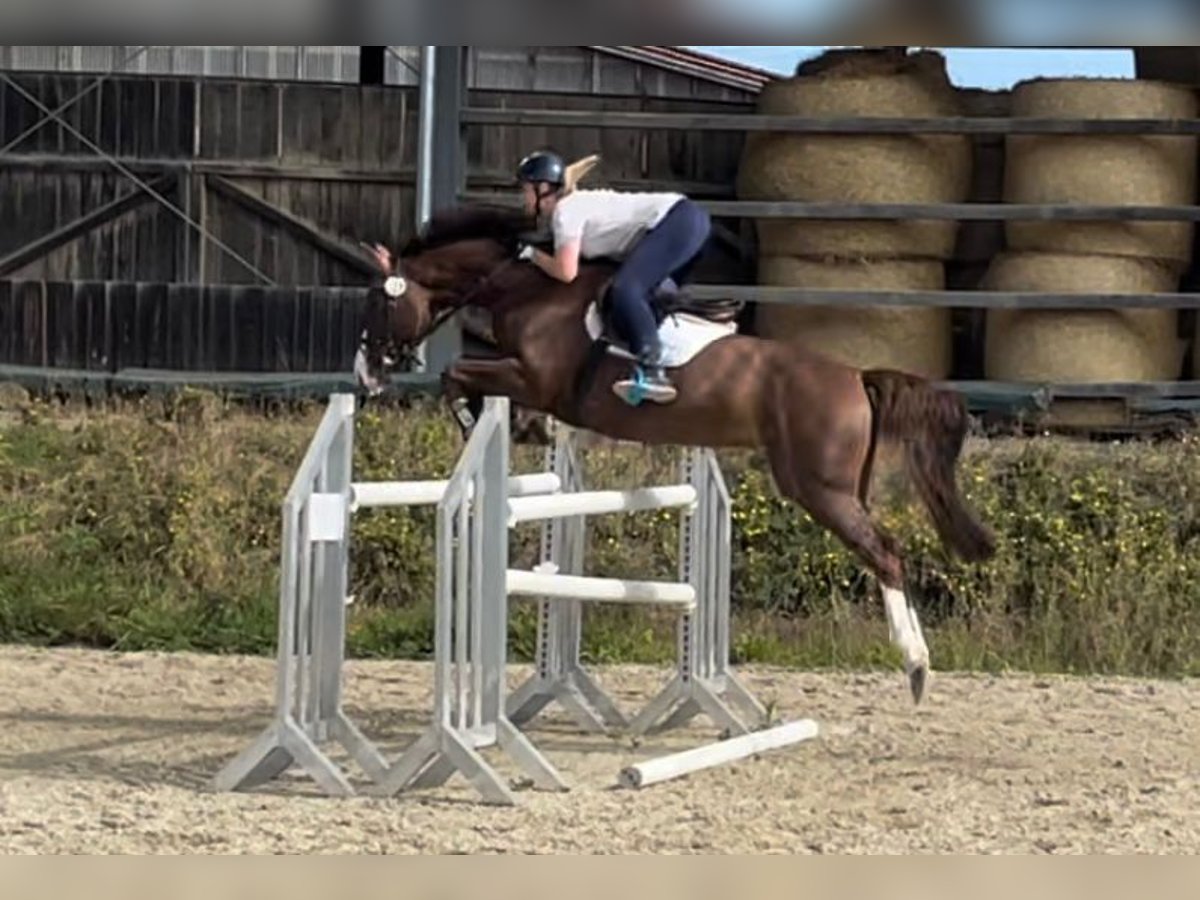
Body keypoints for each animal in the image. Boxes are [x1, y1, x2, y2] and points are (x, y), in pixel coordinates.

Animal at [355, 204, 993, 705]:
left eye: (378, 303)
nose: (365, 377)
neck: (530, 287)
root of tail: (856, 377)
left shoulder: (534, 377)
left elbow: (457, 374)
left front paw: (480, 422)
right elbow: (471, 379)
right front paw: (526, 429)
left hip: (820, 490)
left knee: (886, 553)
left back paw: (915, 664)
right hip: (841, 487)